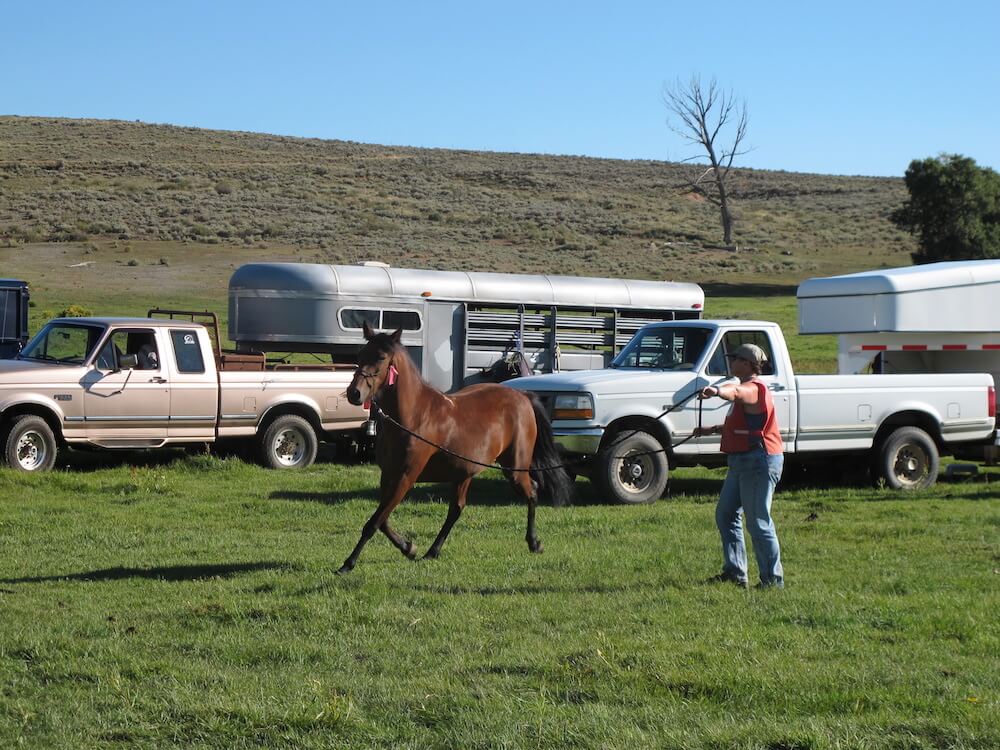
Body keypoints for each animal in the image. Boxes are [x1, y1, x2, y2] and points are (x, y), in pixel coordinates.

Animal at [338, 322, 574, 574]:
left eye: (381, 357)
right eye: (360, 354)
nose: (354, 393)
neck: (413, 417)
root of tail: (522, 395)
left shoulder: (406, 478)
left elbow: (374, 522)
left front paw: (348, 563)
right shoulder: (389, 476)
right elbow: (383, 521)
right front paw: (409, 548)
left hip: (514, 468)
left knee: (532, 492)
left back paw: (534, 542)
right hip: (464, 473)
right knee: (456, 509)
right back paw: (433, 551)